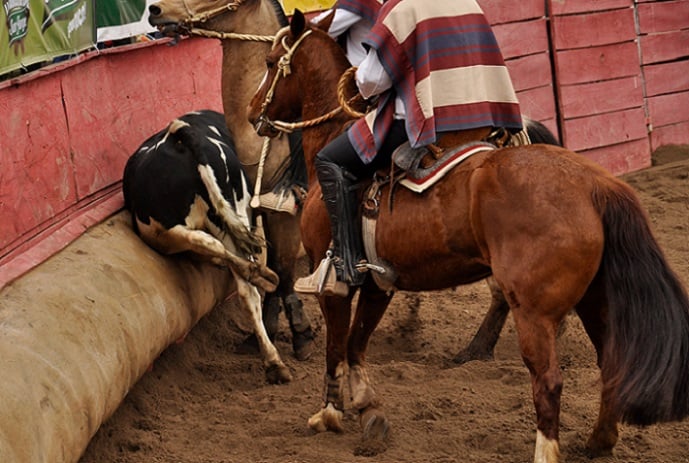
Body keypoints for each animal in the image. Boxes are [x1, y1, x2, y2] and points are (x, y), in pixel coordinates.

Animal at [123, 109, 290, 384]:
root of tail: (181, 135)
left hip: (164, 229)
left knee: (209, 245)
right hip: (204, 222)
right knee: (244, 285)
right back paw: (273, 359)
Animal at [249, 12, 689, 462]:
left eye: (269, 62)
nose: (252, 111)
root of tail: (594, 183)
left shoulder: (335, 284)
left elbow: (336, 348)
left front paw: (331, 412)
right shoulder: (378, 284)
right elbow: (356, 344)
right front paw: (368, 409)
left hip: (534, 312)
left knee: (548, 381)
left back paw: (545, 447)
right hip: (595, 299)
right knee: (610, 363)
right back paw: (599, 440)